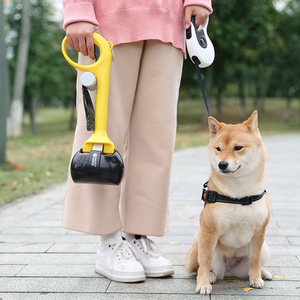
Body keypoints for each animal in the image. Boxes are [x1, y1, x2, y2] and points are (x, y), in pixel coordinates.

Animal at [185, 111, 272, 294]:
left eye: (238, 147)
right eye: (218, 149)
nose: (222, 164)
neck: (240, 197)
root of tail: (229, 271)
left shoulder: (260, 231)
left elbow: (255, 260)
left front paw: (256, 279)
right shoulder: (209, 230)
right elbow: (204, 263)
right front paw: (202, 284)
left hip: (265, 248)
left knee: (253, 264)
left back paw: (263, 272)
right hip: (199, 239)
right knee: (199, 267)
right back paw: (210, 277)